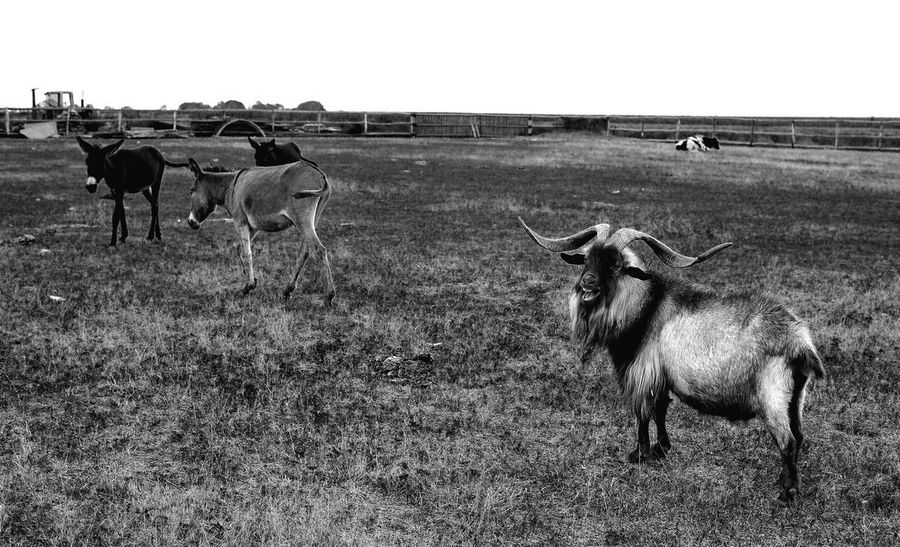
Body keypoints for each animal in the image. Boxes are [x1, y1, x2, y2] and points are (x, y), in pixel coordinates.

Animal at [519, 218, 824, 503]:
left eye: (616, 265)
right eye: (587, 258)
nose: (588, 283)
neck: (645, 310)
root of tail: (799, 341)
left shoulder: (642, 374)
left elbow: (643, 414)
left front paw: (639, 454)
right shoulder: (661, 377)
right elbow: (661, 410)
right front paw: (661, 449)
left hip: (772, 396)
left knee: (787, 441)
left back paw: (787, 493)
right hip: (795, 397)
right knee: (799, 436)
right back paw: (783, 481)